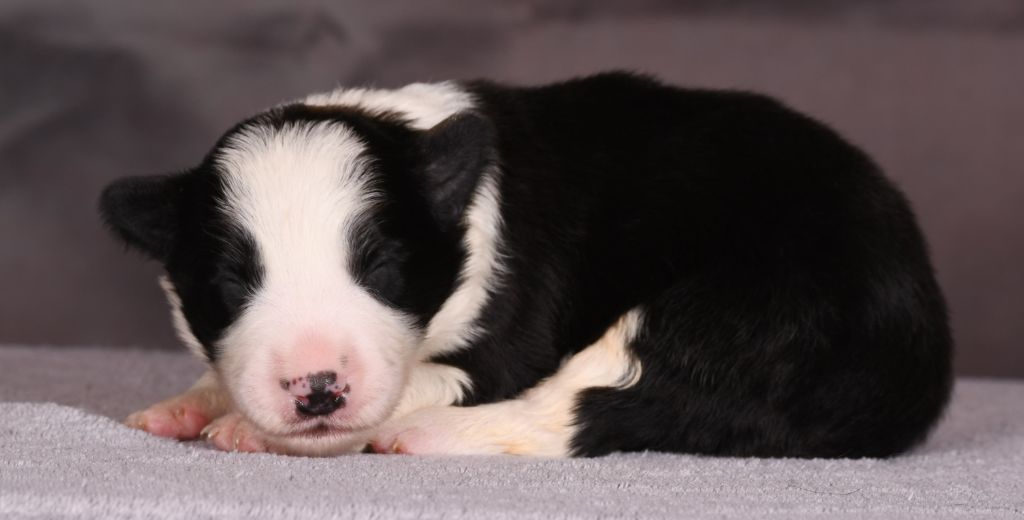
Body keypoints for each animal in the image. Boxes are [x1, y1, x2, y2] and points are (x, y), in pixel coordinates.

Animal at [100, 72, 952, 457]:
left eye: (384, 267)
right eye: (230, 284)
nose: (316, 391)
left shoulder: (513, 334)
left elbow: (446, 376)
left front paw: (247, 428)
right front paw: (186, 404)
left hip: (742, 309)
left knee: (586, 402)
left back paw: (423, 435)